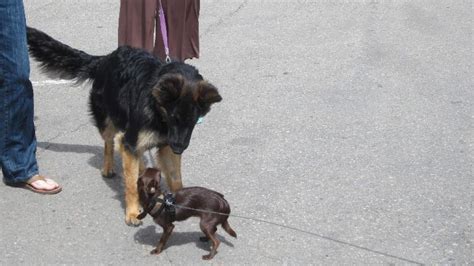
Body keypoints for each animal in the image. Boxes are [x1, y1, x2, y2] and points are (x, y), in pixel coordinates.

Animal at [26, 27, 223, 227]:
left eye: (194, 121)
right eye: (173, 118)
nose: (179, 148)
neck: (156, 108)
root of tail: (105, 58)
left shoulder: (166, 146)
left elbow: (176, 177)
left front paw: (183, 199)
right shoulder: (135, 141)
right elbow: (131, 184)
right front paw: (133, 213)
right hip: (108, 122)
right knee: (110, 142)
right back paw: (109, 167)